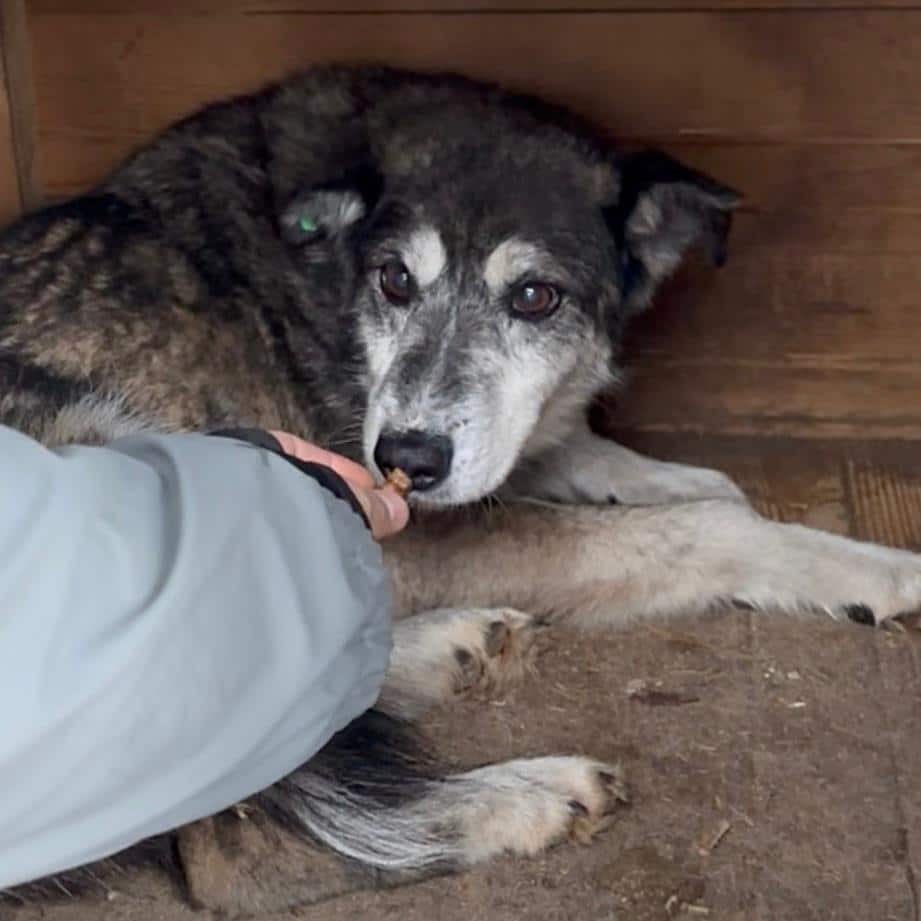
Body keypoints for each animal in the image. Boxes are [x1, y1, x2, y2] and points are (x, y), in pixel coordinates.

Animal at [3, 65, 920, 916]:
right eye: (394, 280)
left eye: (535, 295)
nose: (405, 454)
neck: (319, 284)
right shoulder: (394, 526)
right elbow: (700, 527)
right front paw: (870, 566)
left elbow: (601, 457)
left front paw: (662, 472)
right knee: (240, 858)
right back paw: (522, 797)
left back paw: (449, 646)